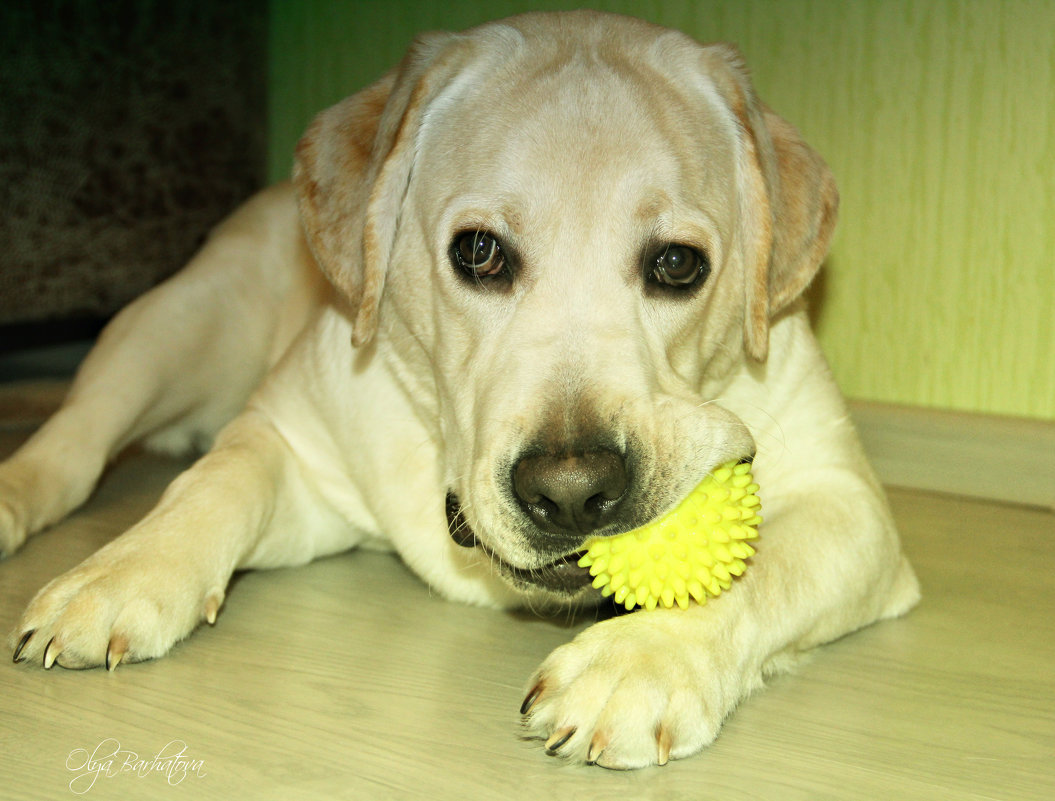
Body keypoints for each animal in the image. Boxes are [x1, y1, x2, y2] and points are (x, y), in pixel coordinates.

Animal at [2, 9, 915, 768]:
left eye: (677, 264)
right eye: (478, 251)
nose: (572, 492)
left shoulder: (848, 507)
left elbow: (759, 568)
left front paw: (638, 661)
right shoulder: (293, 440)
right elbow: (214, 481)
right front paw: (121, 574)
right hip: (173, 322)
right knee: (77, 437)